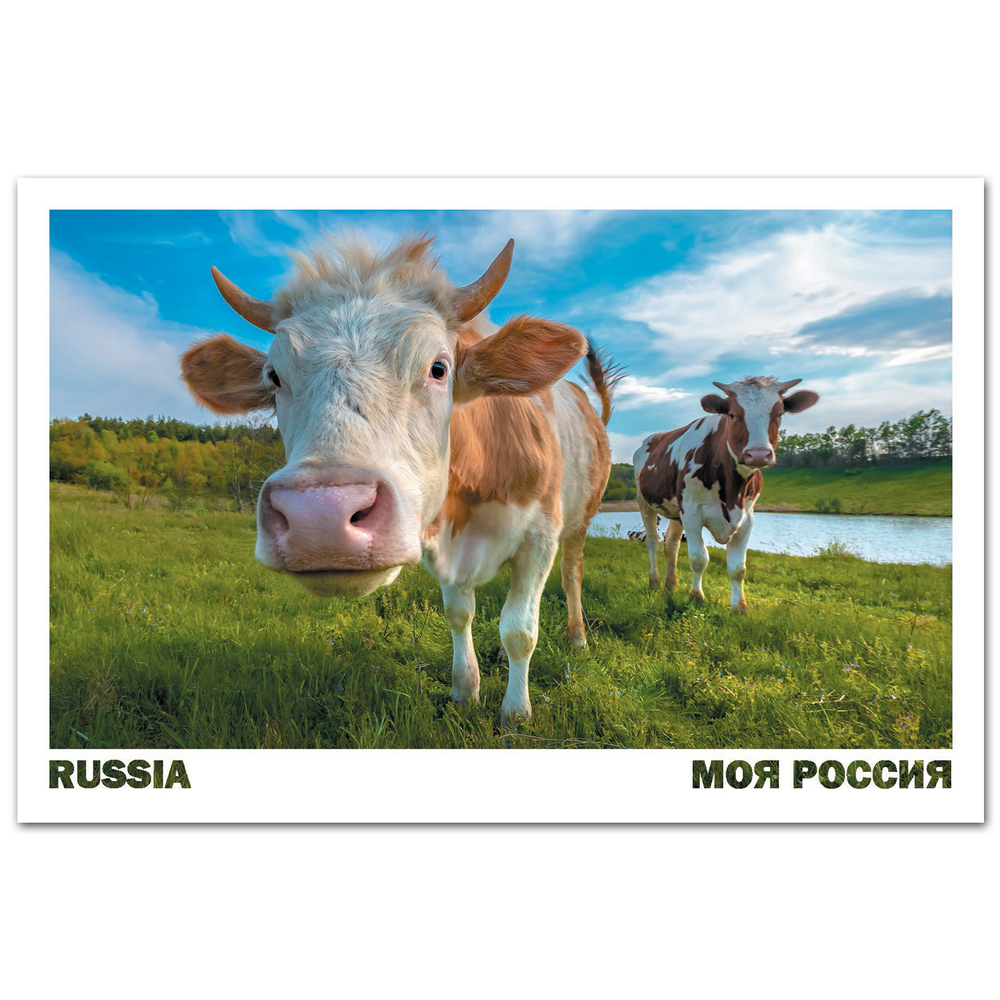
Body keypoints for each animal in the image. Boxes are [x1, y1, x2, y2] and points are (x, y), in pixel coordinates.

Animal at [180, 234, 617, 724]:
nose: (319, 518)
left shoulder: (540, 535)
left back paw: (577, 638)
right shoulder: (440, 546)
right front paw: (465, 690)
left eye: (439, 368)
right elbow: (459, 614)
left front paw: (515, 713)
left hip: (580, 519)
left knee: (572, 575)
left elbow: (519, 629)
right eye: (274, 376)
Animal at [633, 376, 818, 614]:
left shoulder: (746, 518)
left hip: (675, 511)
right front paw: (696, 596)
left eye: (779, 414)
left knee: (671, 544)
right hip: (645, 503)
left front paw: (739, 607)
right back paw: (655, 583)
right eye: (732, 414)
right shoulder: (692, 513)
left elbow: (738, 567)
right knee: (653, 542)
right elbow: (698, 558)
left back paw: (671, 585)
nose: (758, 453)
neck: (732, 491)